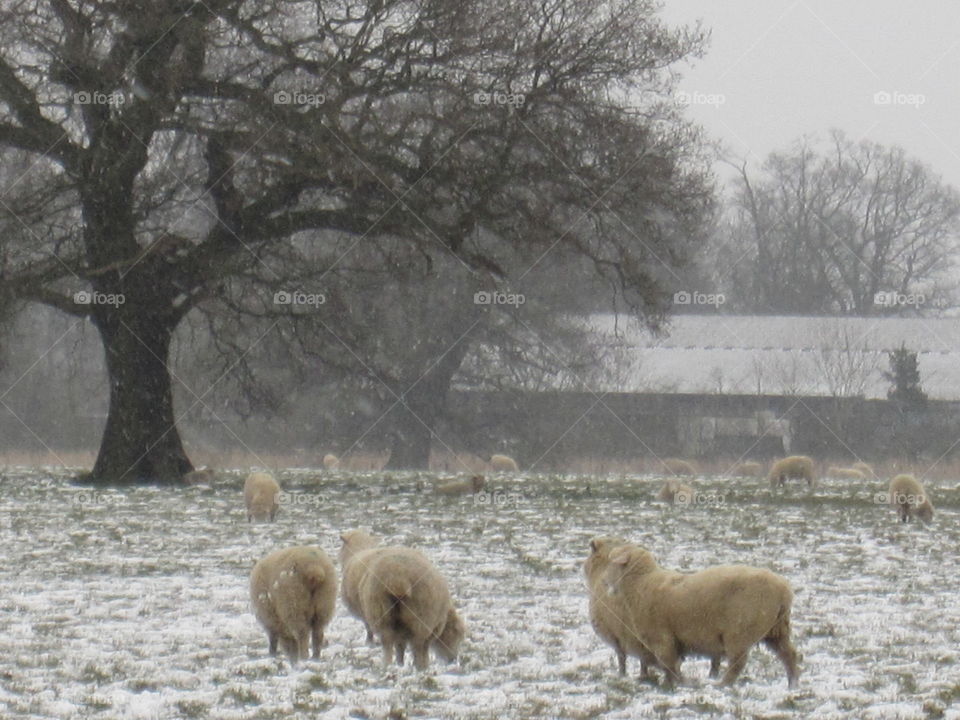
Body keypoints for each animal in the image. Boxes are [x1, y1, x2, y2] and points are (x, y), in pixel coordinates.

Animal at [342, 528, 464, 668]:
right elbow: (422, 648)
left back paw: (389, 665)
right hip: (420, 619)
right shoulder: (431, 629)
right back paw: (420, 667)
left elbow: (400, 646)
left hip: (381, 612)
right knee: (417, 646)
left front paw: (400, 662)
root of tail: (397, 577)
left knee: (388, 642)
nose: (453, 659)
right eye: (456, 634)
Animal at [604, 544, 800, 688]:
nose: (606, 583)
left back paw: (722, 685)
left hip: (740, 631)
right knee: (789, 654)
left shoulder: (662, 638)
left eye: (613, 563)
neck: (641, 583)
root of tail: (784, 591)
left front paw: (673, 685)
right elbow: (672, 664)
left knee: (738, 663)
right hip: (777, 629)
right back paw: (792, 684)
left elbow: (668, 664)